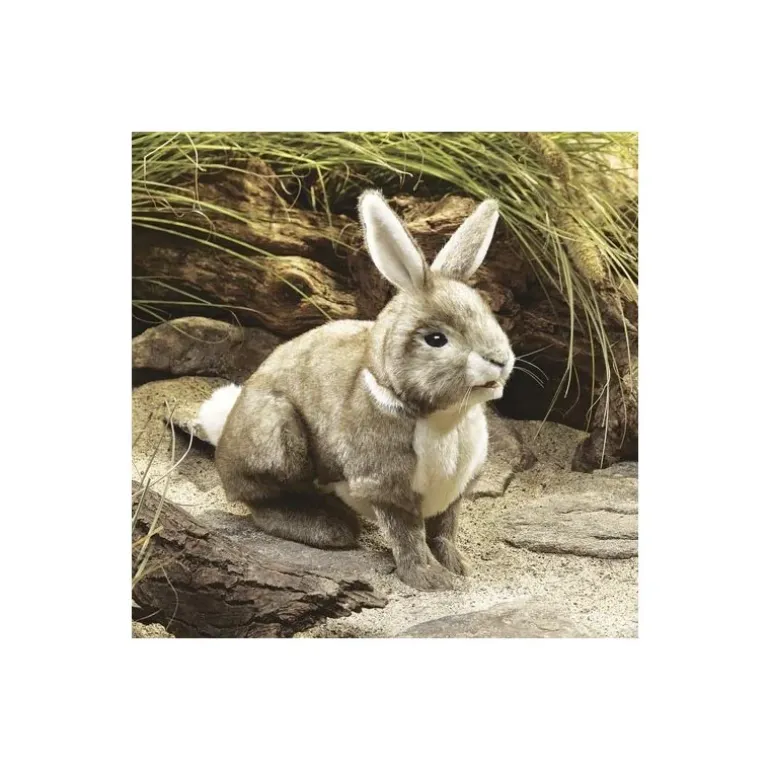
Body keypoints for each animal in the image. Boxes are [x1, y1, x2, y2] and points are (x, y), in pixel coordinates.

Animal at [200, 190, 515, 590]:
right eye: (436, 339)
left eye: (488, 316)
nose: (500, 360)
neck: (446, 419)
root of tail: (224, 430)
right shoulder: (386, 486)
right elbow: (408, 536)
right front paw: (431, 580)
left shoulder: (454, 492)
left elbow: (444, 530)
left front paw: (457, 567)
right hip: (279, 437)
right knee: (261, 502)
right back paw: (327, 528)